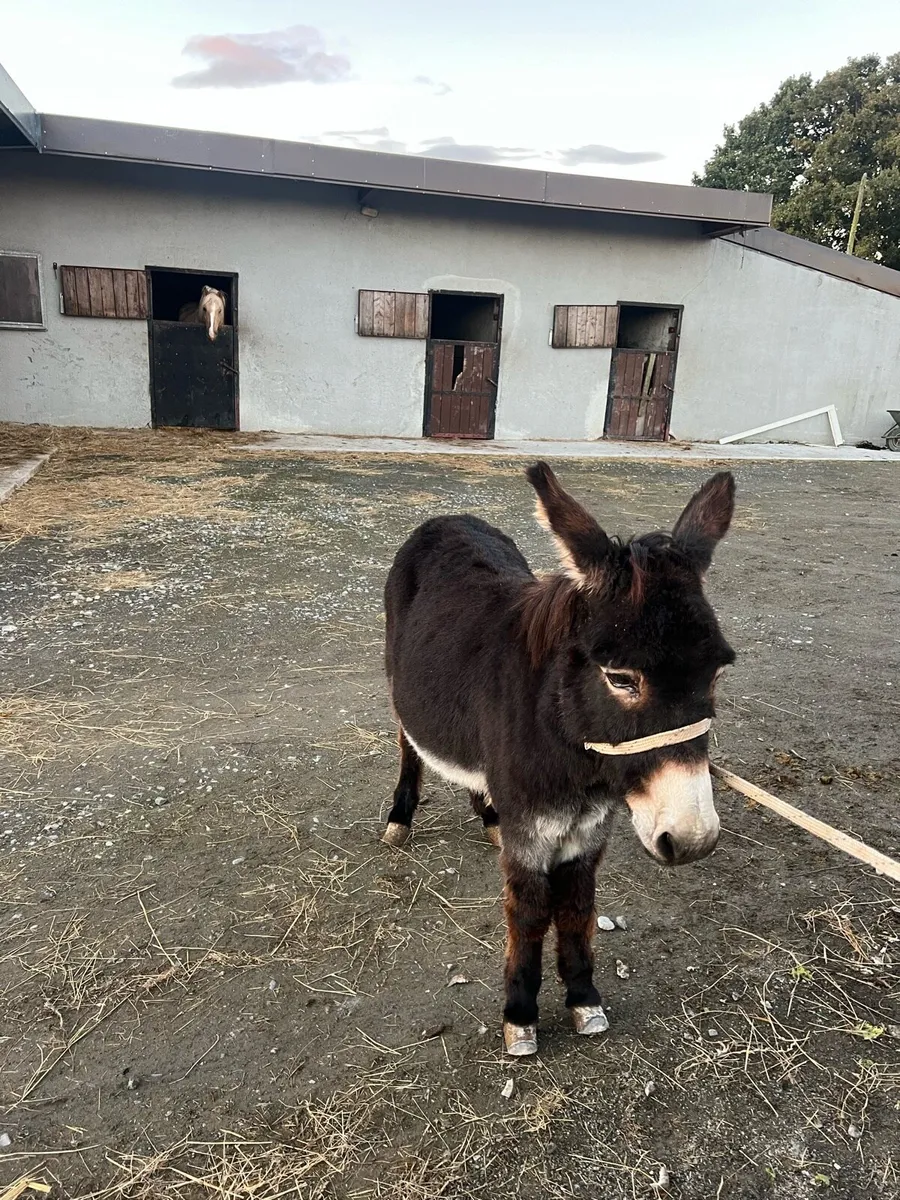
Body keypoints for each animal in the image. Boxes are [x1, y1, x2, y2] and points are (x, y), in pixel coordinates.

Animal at [381, 462, 735, 1055]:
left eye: (716, 671)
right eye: (621, 678)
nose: (694, 839)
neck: (576, 759)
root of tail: (449, 517)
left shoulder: (590, 831)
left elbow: (575, 910)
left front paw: (584, 1000)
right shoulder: (533, 836)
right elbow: (528, 915)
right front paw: (520, 1016)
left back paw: (488, 814)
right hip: (396, 680)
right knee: (409, 743)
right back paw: (400, 817)